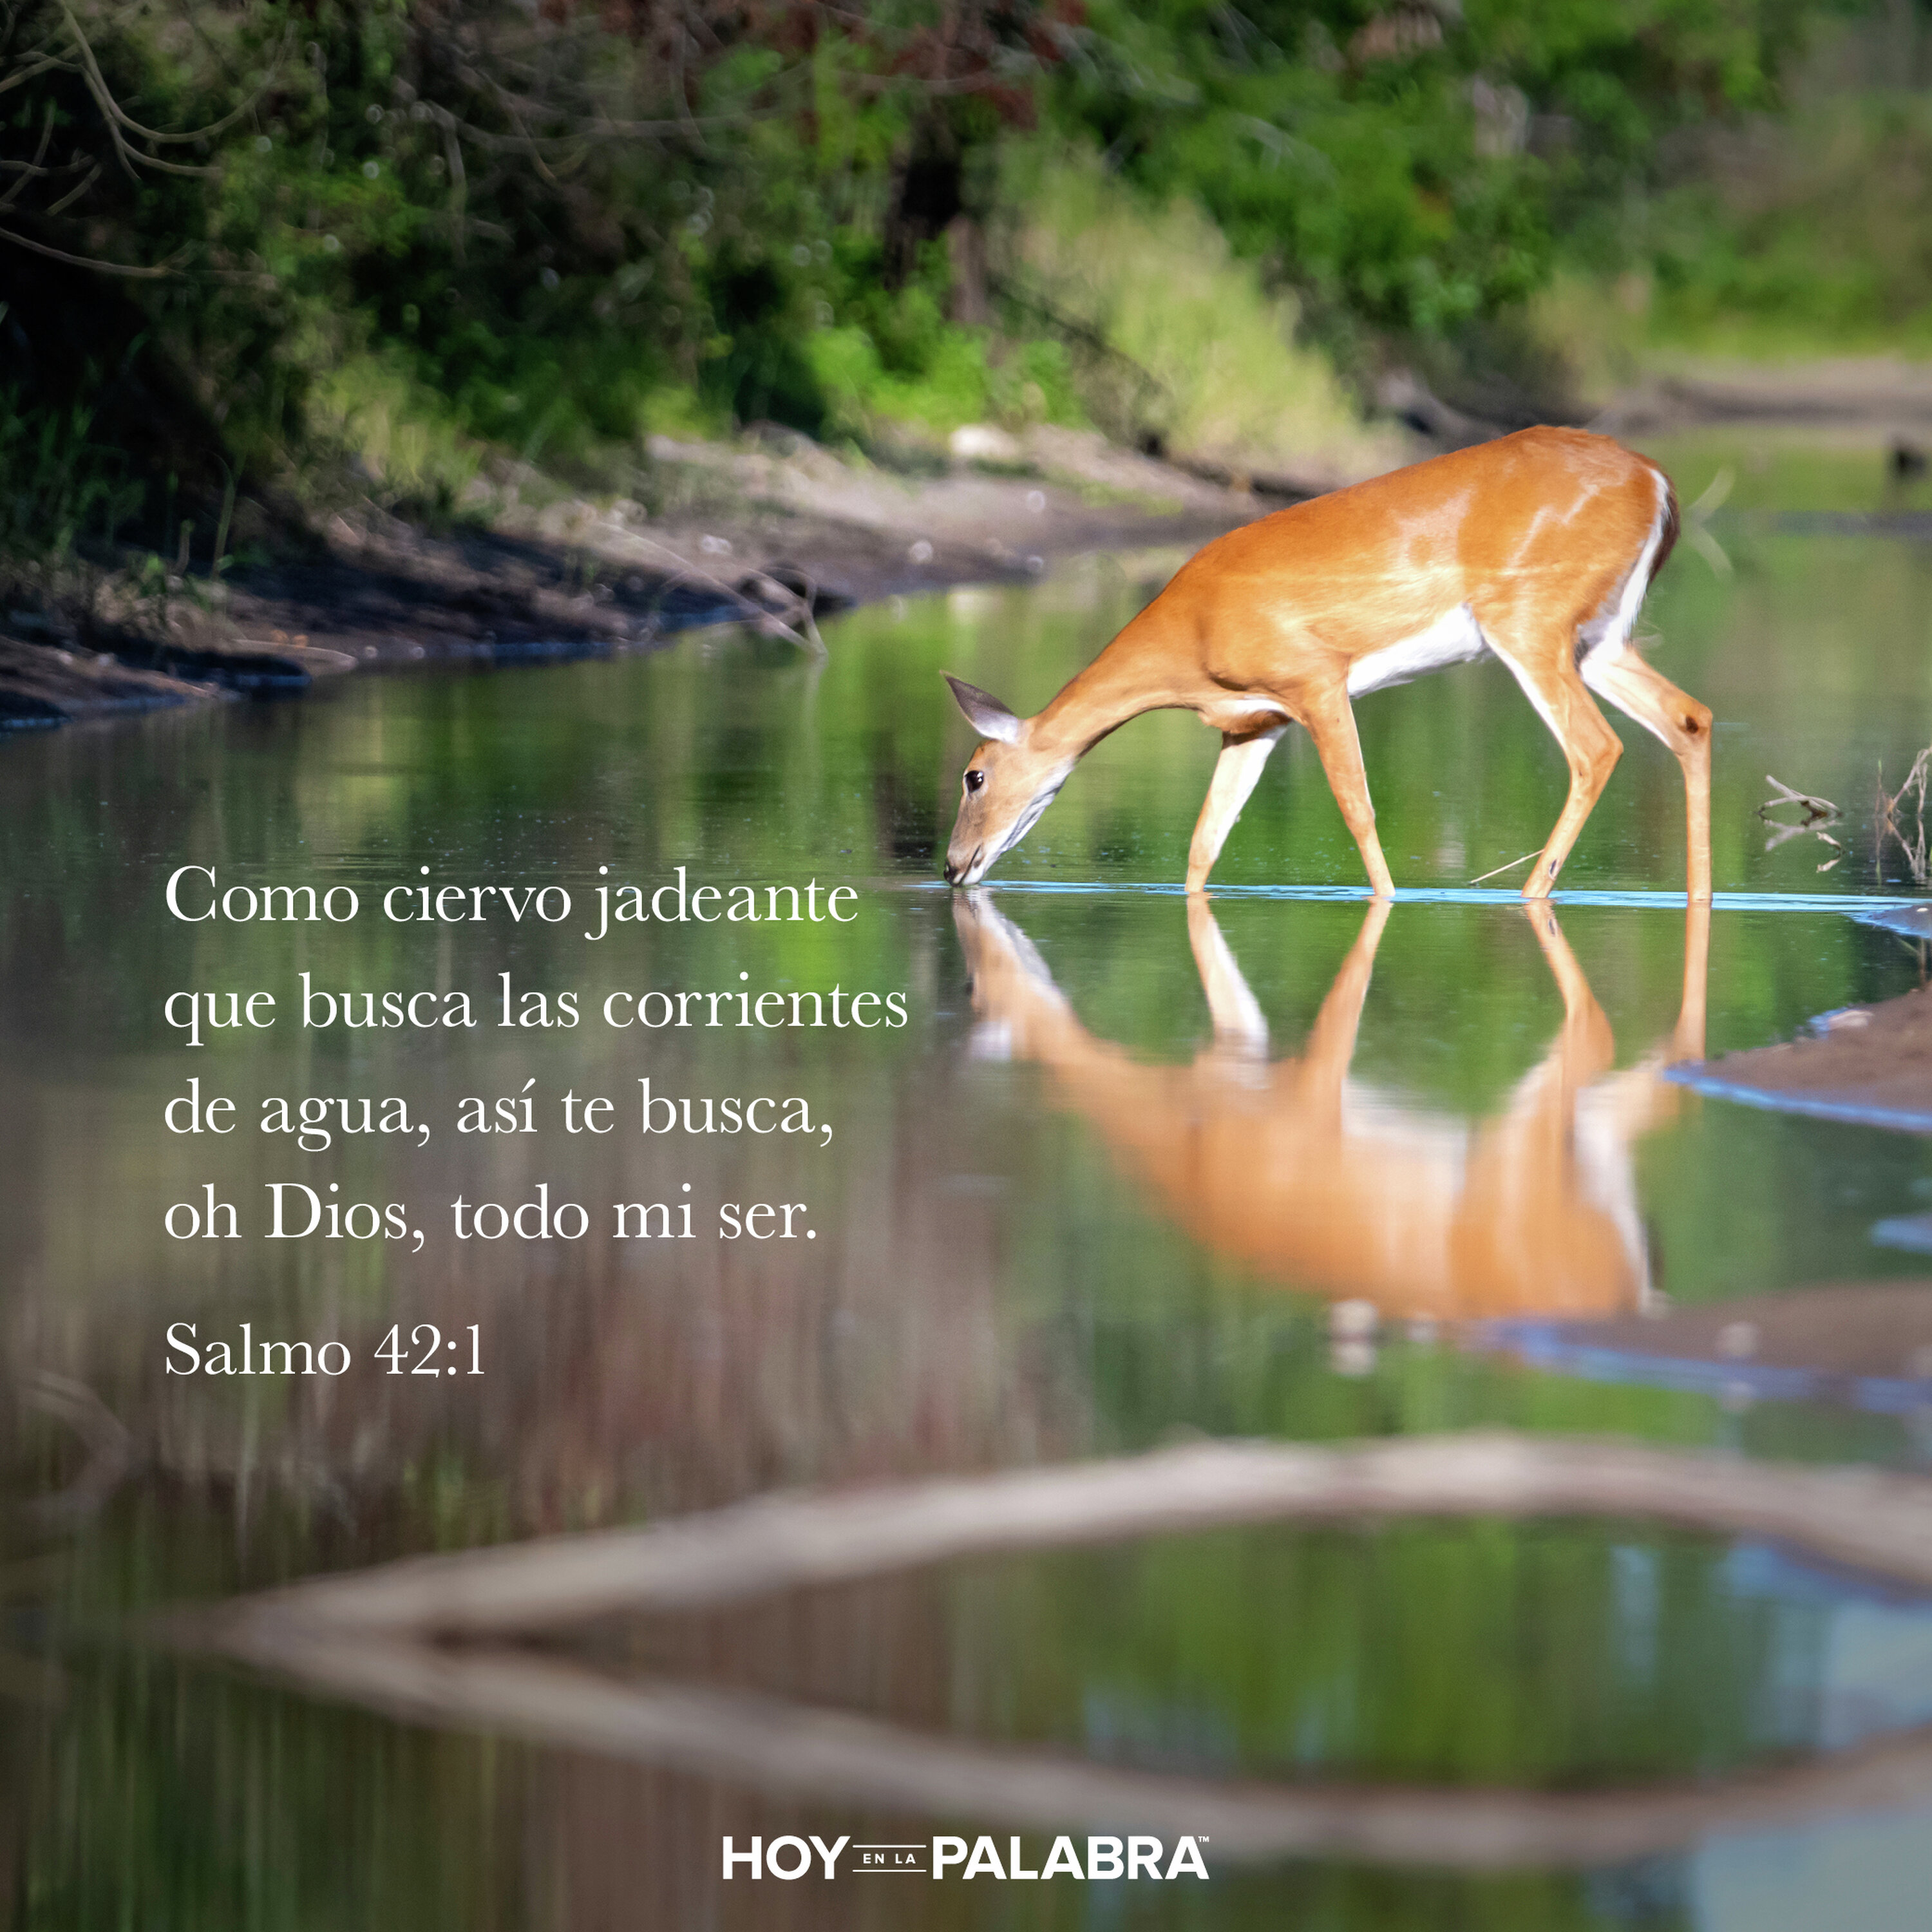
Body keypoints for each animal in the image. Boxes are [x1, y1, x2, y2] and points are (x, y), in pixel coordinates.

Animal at [942, 426, 1710, 900]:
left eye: (974, 775)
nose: (950, 866)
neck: (1192, 634)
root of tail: (1656, 482)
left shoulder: (1313, 678)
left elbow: (1357, 808)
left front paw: (1389, 902)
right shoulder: (1252, 722)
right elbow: (1204, 841)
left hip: (1529, 621)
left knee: (1596, 746)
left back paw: (1528, 895)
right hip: (1600, 638)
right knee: (1690, 719)